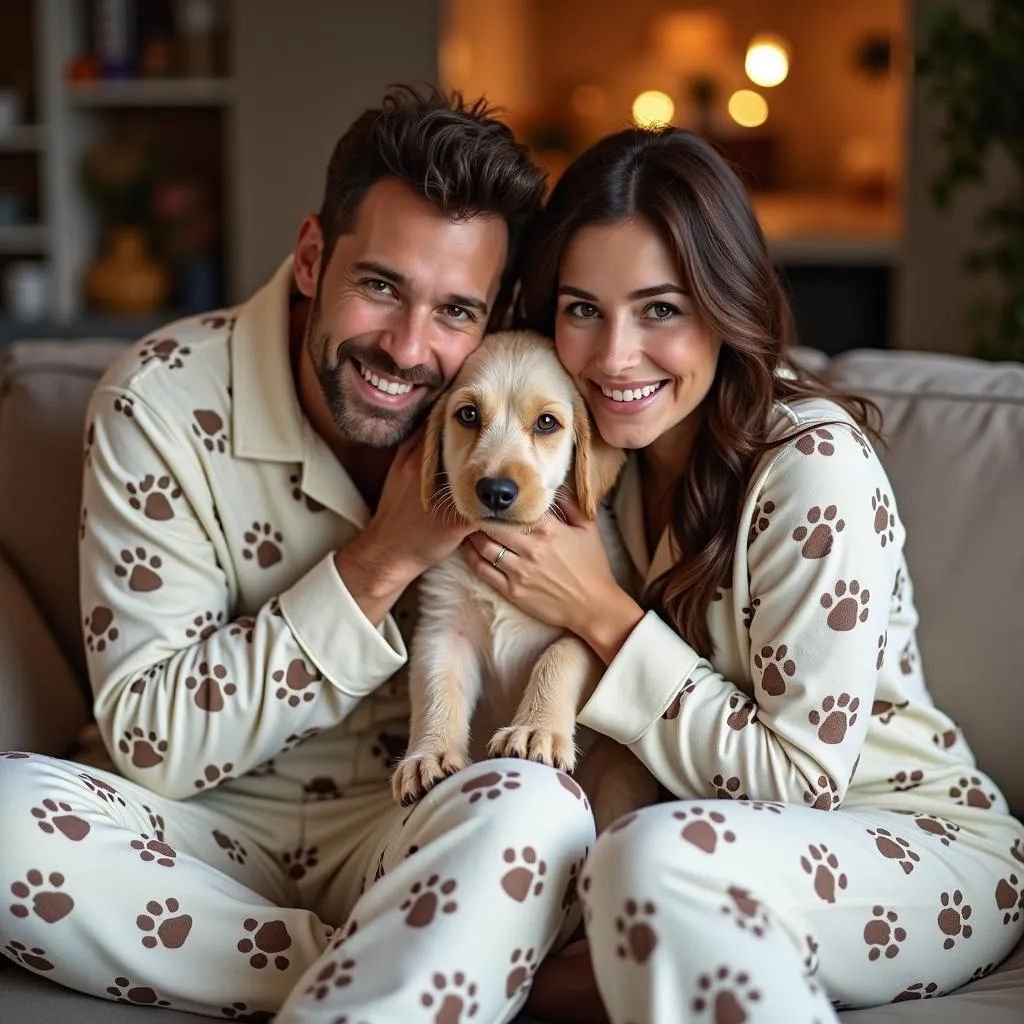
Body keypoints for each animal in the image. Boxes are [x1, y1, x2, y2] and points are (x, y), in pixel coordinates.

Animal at [391, 331, 655, 835]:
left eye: (547, 423)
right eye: (468, 415)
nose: (496, 491)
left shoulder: (588, 625)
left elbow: (559, 657)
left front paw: (535, 730)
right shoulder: (443, 628)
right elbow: (437, 688)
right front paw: (429, 754)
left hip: (619, 777)